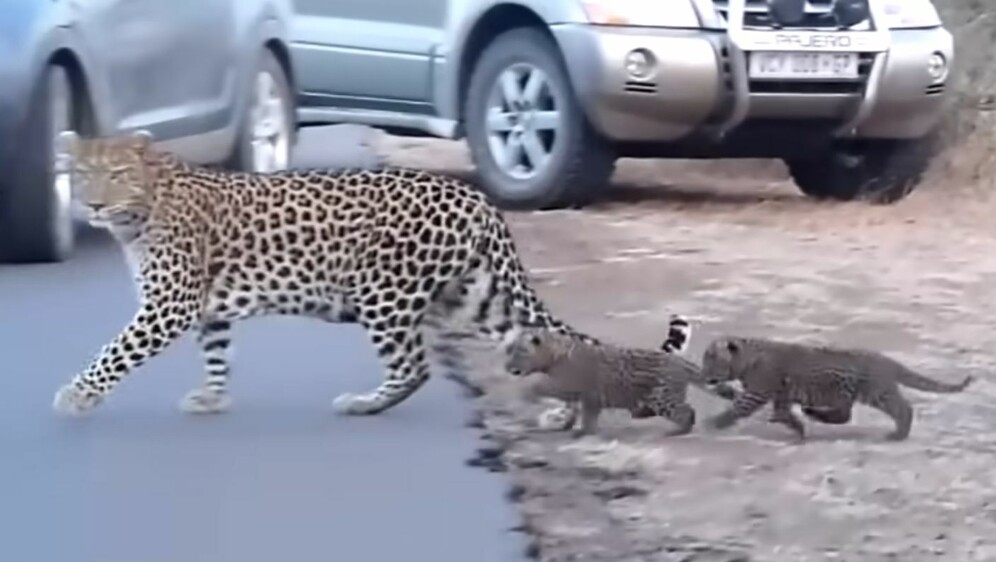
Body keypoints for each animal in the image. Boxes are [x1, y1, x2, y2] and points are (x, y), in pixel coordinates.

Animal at [49, 130, 691, 422]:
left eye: (115, 175)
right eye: (81, 175)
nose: (93, 204)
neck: (143, 208)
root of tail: (477, 198)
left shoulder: (169, 306)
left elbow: (116, 351)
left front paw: (76, 395)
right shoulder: (205, 307)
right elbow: (216, 352)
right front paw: (211, 397)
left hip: (384, 293)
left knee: (414, 365)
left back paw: (363, 404)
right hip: (475, 294)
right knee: (533, 335)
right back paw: (562, 408)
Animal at [505, 324, 722, 437]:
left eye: (520, 351)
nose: (508, 367)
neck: (554, 356)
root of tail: (680, 361)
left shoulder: (570, 387)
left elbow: (543, 387)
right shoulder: (584, 396)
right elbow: (578, 411)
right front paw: (568, 426)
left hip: (662, 397)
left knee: (686, 412)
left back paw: (676, 431)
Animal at [700, 335, 975, 441]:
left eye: (710, 358)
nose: (702, 374)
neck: (746, 360)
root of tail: (888, 360)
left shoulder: (757, 393)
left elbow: (737, 408)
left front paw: (714, 423)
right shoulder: (781, 396)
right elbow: (784, 414)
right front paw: (799, 429)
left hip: (877, 393)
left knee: (903, 409)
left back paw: (898, 435)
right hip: (850, 394)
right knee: (845, 415)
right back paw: (812, 413)